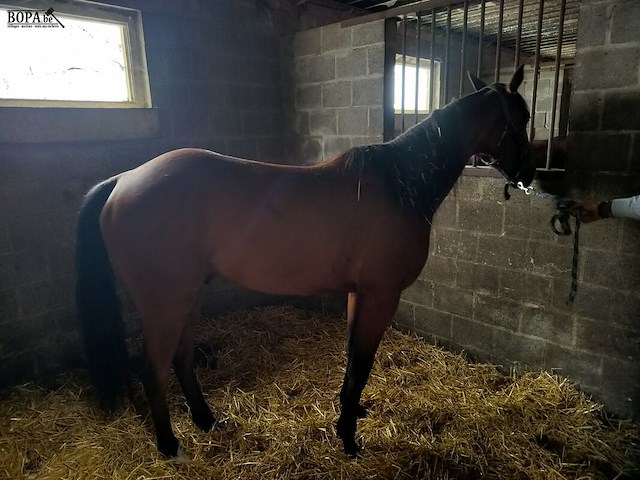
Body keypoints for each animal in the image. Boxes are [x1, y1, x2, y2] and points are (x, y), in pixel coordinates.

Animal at [75, 66, 534, 460]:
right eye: (521, 118)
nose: (529, 174)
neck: (401, 183)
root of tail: (123, 180)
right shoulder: (381, 295)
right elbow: (362, 362)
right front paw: (348, 439)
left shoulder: (358, 293)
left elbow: (352, 359)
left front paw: (350, 413)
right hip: (165, 303)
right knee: (152, 368)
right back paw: (171, 447)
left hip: (187, 297)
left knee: (181, 358)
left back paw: (206, 420)